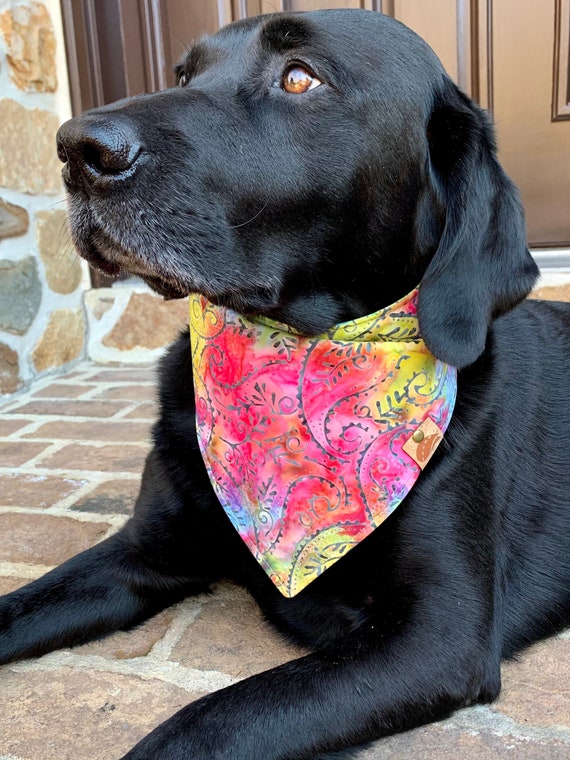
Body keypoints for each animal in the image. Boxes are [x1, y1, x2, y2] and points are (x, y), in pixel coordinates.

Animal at [1, 10, 568, 760]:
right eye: (183, 73)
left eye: (300, 78)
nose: (76, 148)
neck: (294, 355)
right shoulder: (142, 554)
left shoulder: (437, 635)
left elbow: (206, 724)